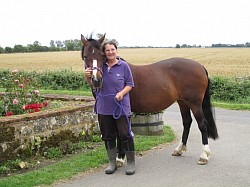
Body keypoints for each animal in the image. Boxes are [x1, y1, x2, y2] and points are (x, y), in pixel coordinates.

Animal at [81, 34, 218, 165]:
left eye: (102, 55)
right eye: (86, 56)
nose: (96, 80)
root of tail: (200, 66)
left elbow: (121, 133)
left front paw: (120, 158)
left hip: (194, 103)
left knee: (202, 124)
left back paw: (204, 155)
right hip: (182, 102)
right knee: (187, 122)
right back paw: (179, 149)